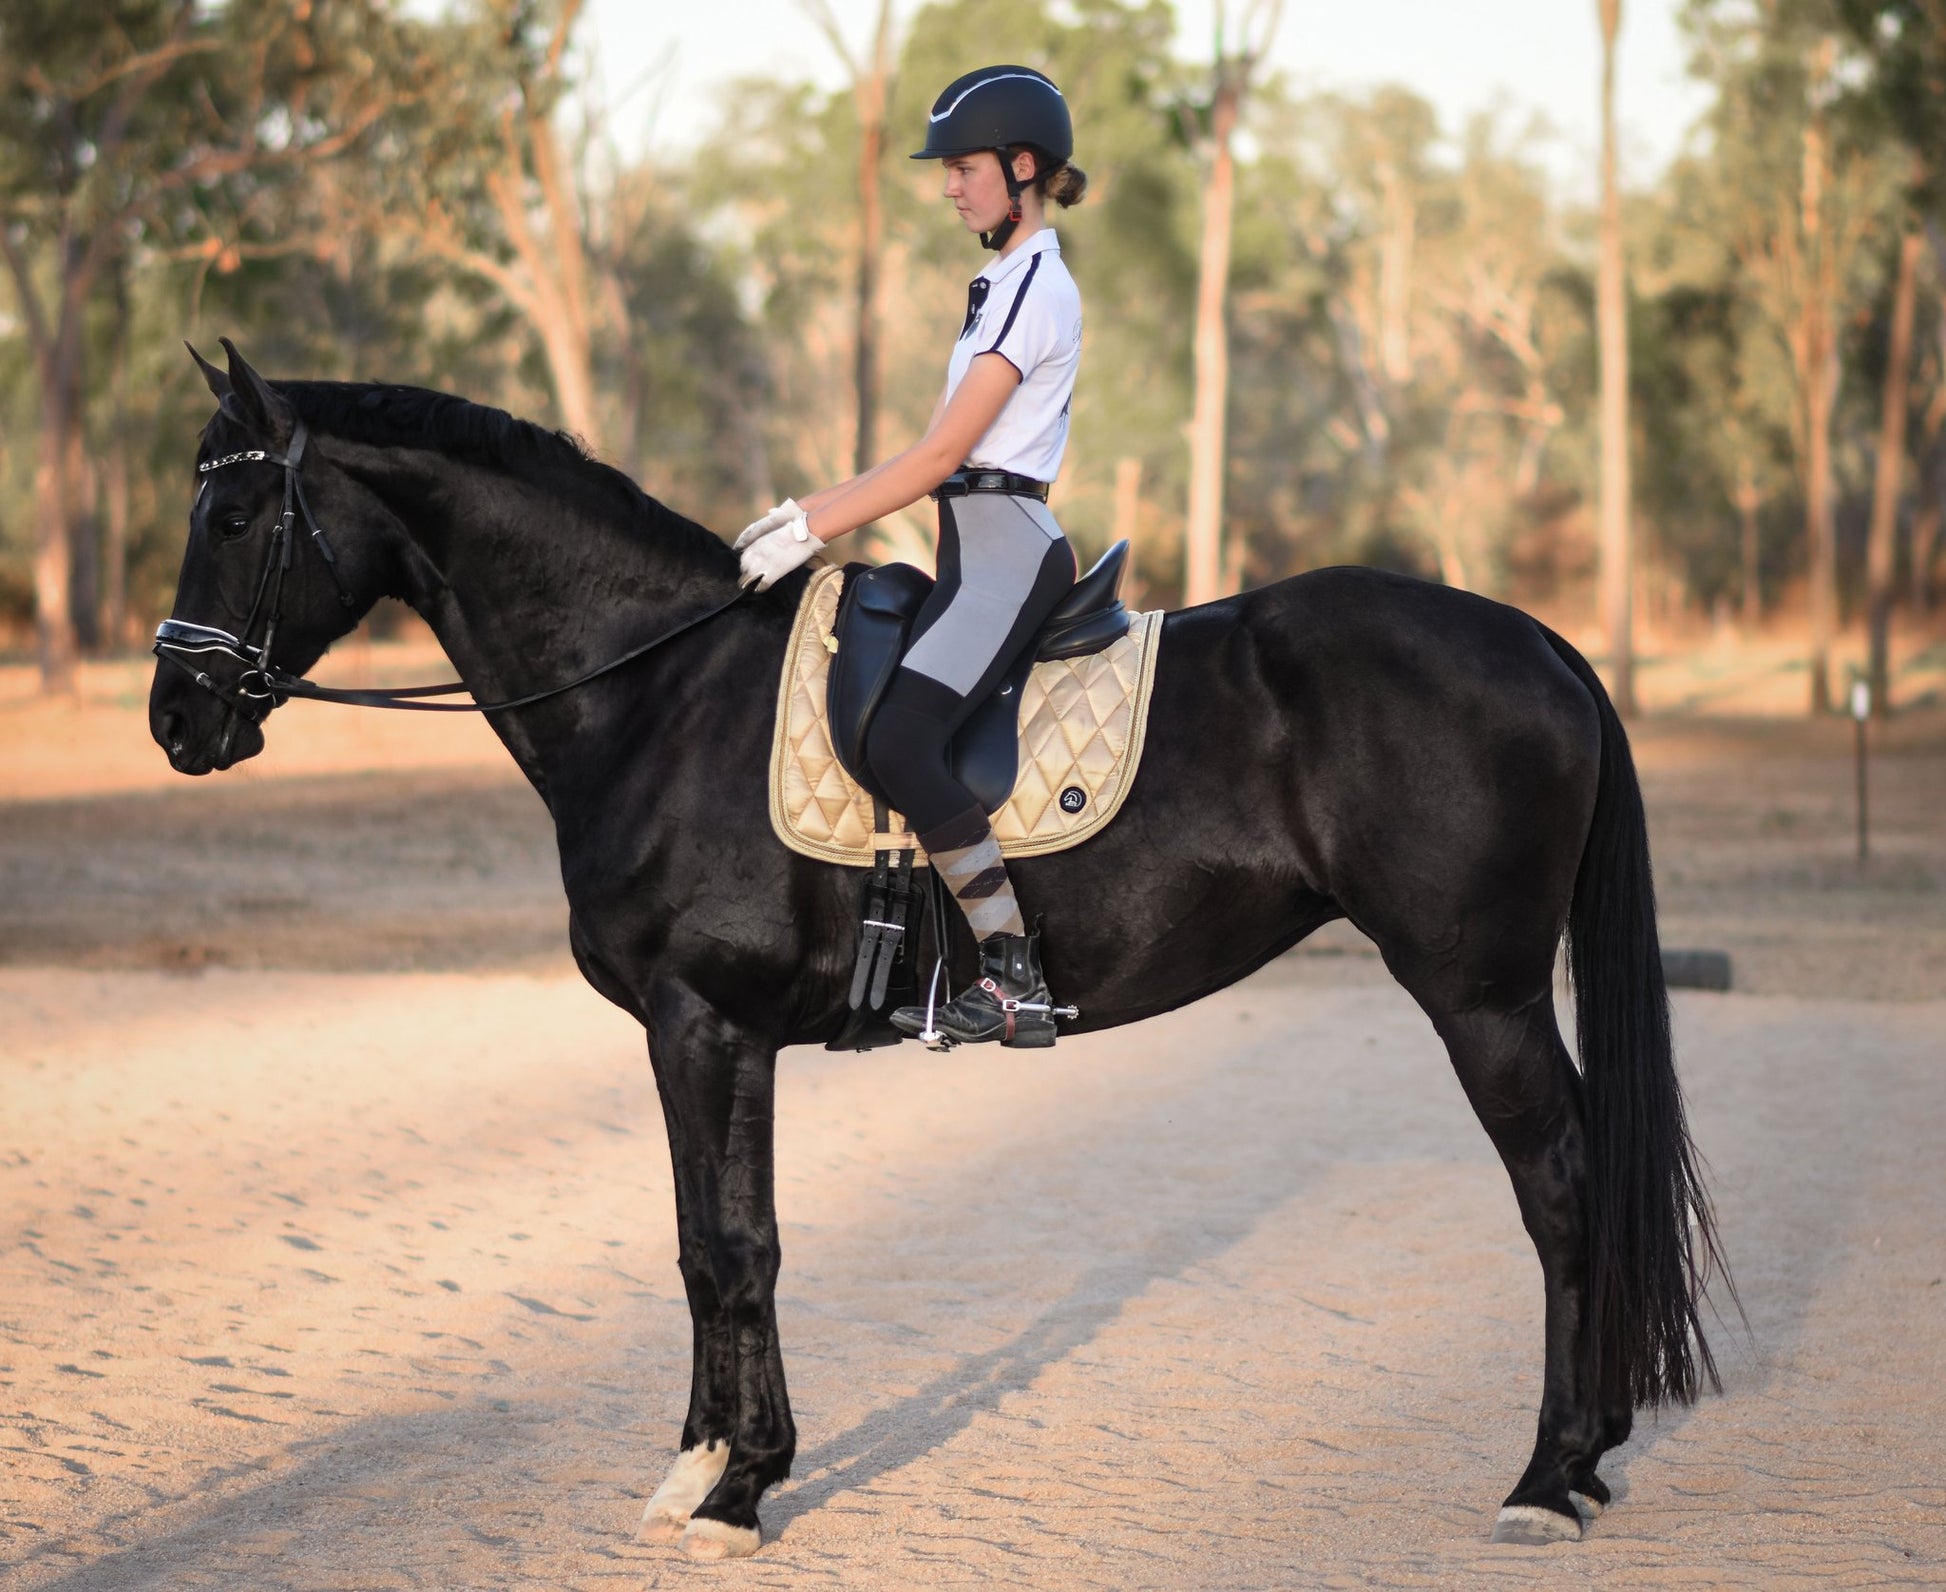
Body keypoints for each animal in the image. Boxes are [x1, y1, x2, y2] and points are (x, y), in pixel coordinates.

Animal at [155, 344, 1735, 1549]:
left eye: (235, 519)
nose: (180, 721)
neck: (661, 692)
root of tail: (1539, 643)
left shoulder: (704, 1019)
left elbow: (735, 1247)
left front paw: (738, 1488)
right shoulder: (697, 1031)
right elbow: (701, 1241)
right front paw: (700, 1466)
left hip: (1477, 995)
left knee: (1560, 1191)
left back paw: (1546, 1476)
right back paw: (1587, 1451)